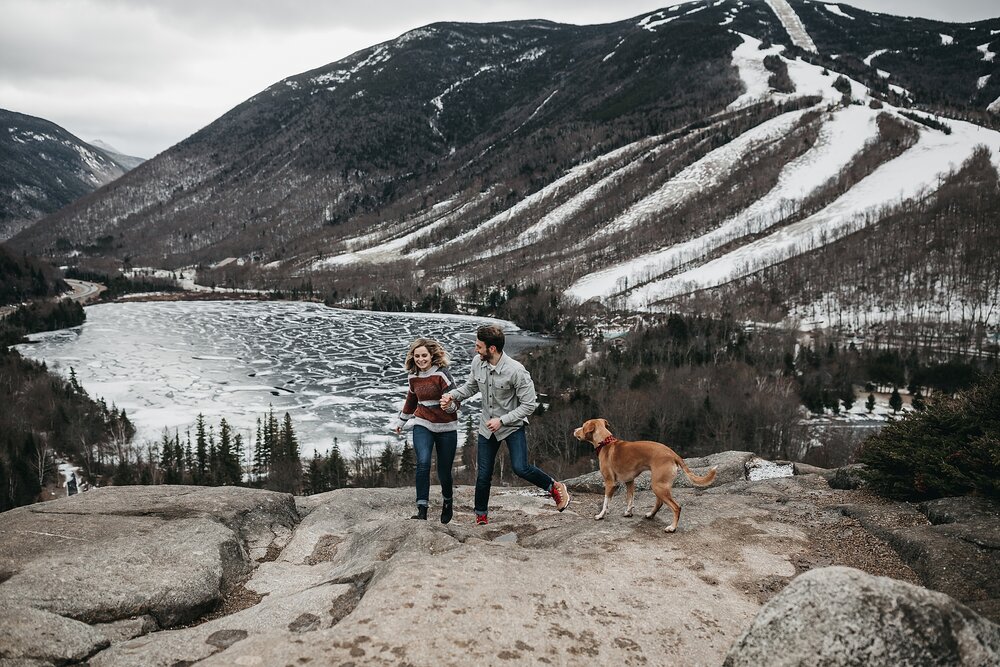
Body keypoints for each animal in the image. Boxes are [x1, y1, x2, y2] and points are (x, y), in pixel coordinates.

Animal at [576, 418, 716, 532]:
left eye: (582, 426)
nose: (574, 430)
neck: (605, 442)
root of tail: (673, 454)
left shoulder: (610, 483)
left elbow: (606, 502)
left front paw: (600, 515)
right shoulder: (629, 481)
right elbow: (630, 498)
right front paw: (628, 512)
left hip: (658, 485)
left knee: (676, 507)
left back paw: (672, 527)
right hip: (659, 485)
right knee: (659, 502)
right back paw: (651, 515)